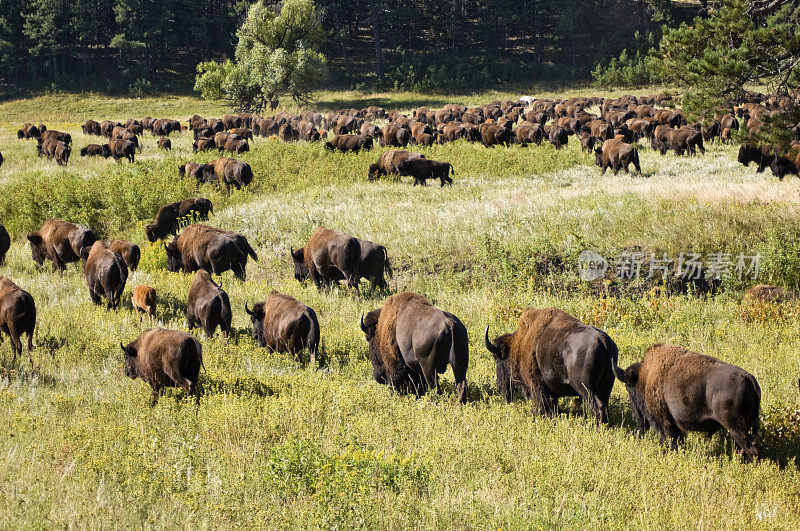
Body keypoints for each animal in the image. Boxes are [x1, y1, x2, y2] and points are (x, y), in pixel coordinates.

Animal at [482, 308, 620, 424]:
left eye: (497, 359)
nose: (500, 386)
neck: (520, 345)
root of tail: (603, 340)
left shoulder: (536, 385)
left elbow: (542, 403)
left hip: (585, 388)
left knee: (597, 407)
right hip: (606, 385)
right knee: (604, 406)